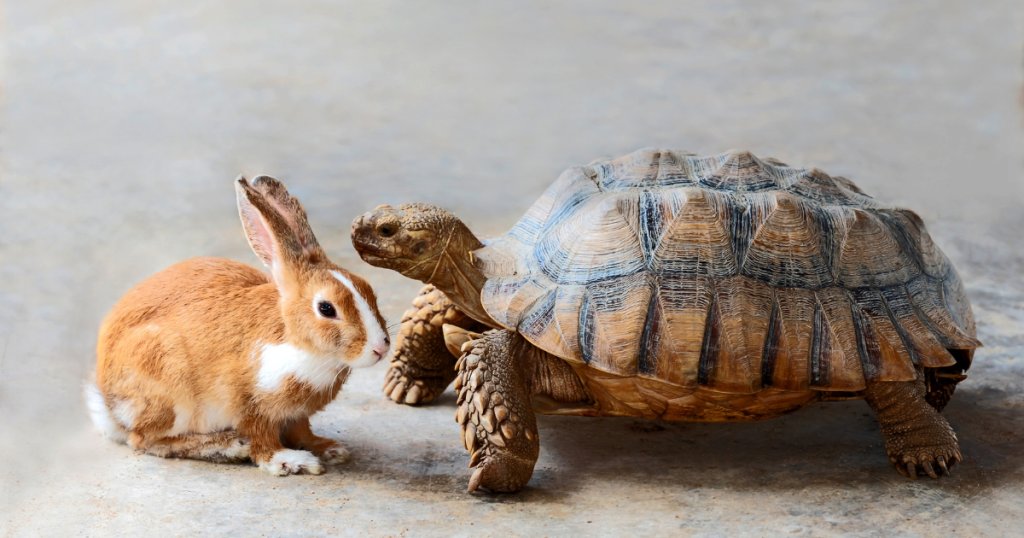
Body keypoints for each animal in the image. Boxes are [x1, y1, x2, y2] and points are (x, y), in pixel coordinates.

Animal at [85, 175, 390, 476]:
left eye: (369, 289)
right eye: (326, 308)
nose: (380, 349)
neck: (298, 343)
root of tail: (108, 407)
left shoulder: (297, 414)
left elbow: (302, 431)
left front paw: (329, 449)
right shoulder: (250, 406)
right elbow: (262, 440)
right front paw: (290, 461)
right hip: (169, 390)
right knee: (145, 439)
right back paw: (227, 446)